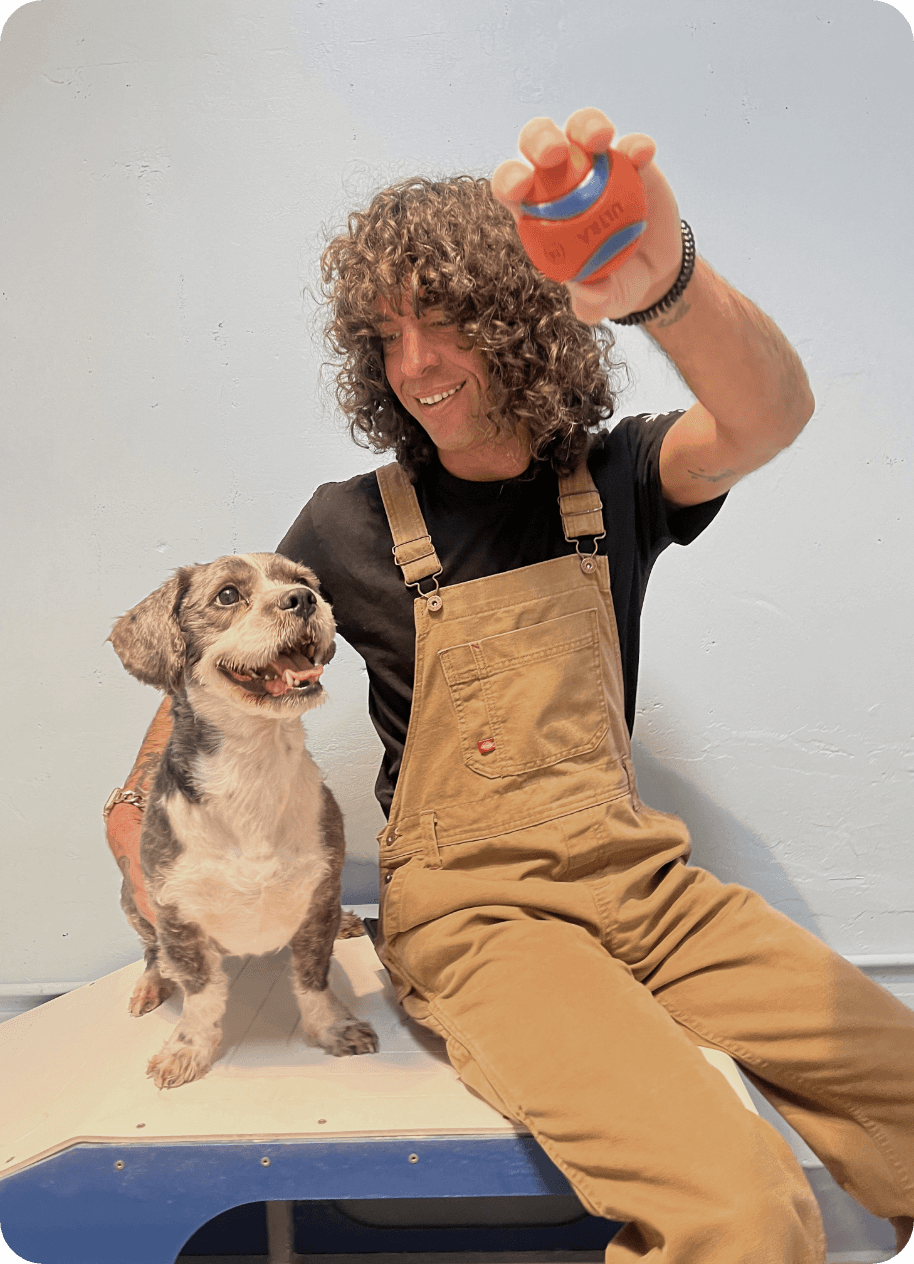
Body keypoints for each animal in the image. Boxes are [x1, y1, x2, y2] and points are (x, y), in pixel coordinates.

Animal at [108, 553, 379, 1087]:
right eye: (228, 595)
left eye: (305, 580)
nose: (303, 599)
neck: (253, 767)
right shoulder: (177, 915)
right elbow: (201, 995)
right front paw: (187, 1050)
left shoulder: (319, 891)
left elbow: (312, 978)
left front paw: (334, 1028)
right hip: (134, 902)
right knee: (152, 954)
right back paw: (151, 983)